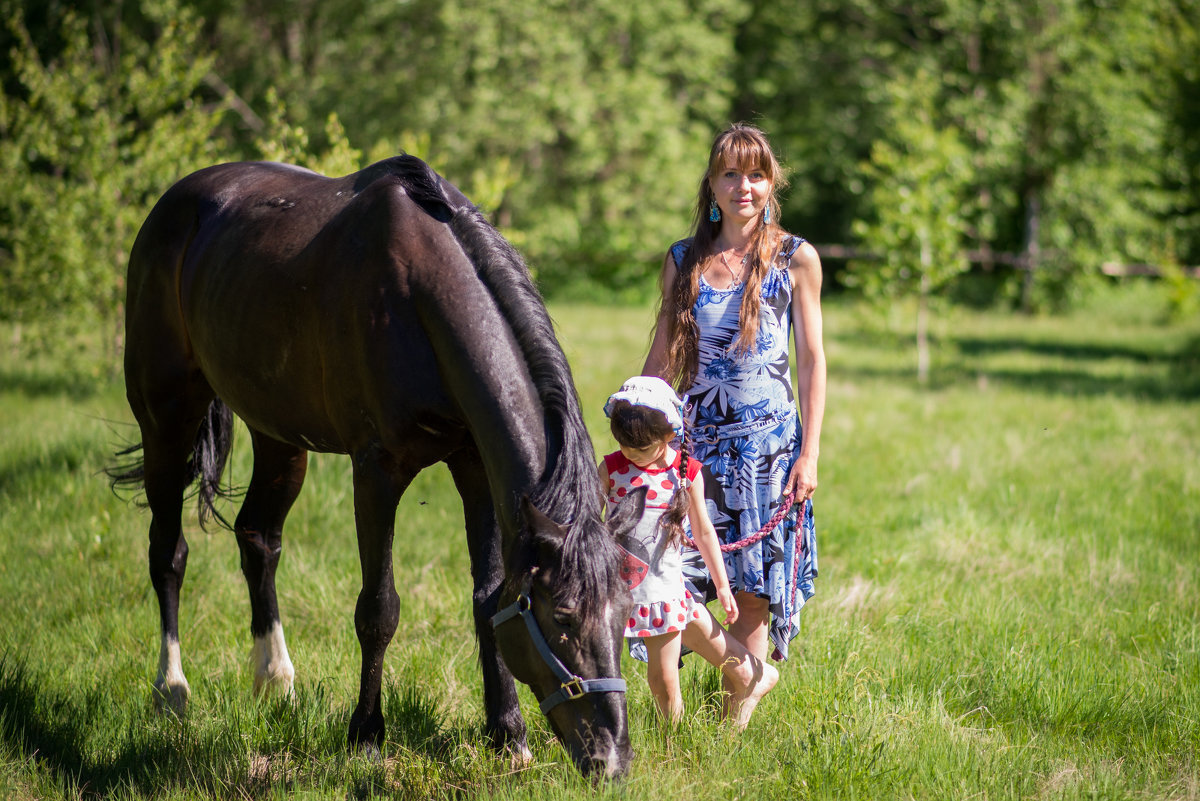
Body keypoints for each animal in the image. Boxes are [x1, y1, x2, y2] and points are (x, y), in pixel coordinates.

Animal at [108, 153, 643, 777]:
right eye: (563, 617)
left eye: (624, 614)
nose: (612, 759)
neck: (419, 302)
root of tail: (173, 203)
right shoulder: (376, 473)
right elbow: (378, 610)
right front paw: (365, 735)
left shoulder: (475, 469)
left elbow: (488, 602)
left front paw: (507, 734)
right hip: (166, 418)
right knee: (168, 553)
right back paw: (171, 690)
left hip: (279, 436)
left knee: (258, 539)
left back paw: (276, 682)